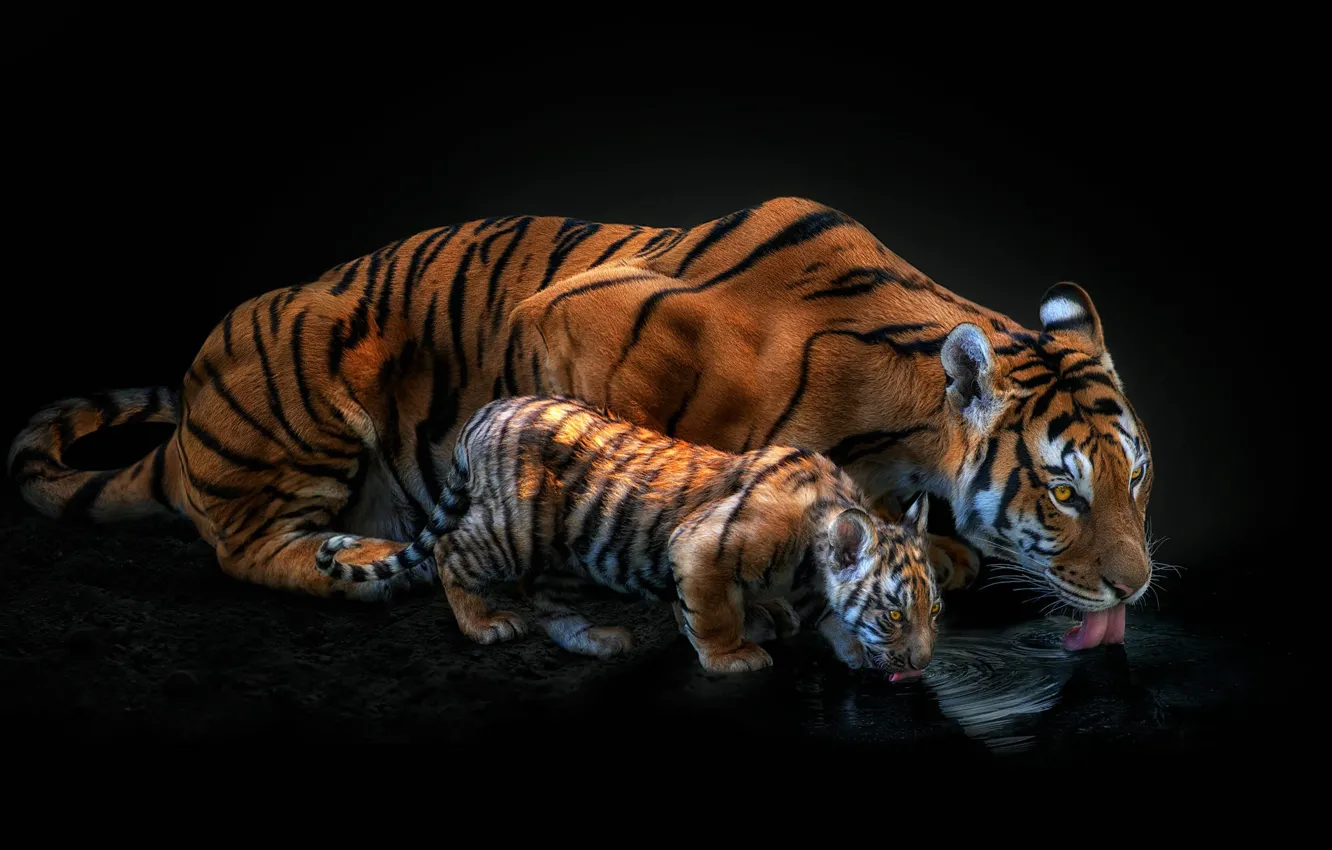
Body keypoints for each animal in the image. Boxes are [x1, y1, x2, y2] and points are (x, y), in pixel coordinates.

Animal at [313, 395, 941, 677]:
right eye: (893, 614)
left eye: (934, 612)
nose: (924, 662)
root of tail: (487, 409)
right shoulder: (698, 548)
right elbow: (714, 613)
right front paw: (733, 655)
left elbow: (817, 612)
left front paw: (845, 646)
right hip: (512, 529)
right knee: (450, 550)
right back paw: (484, 623)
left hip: (561, 554)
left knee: (551, 604)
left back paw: (597, 639)